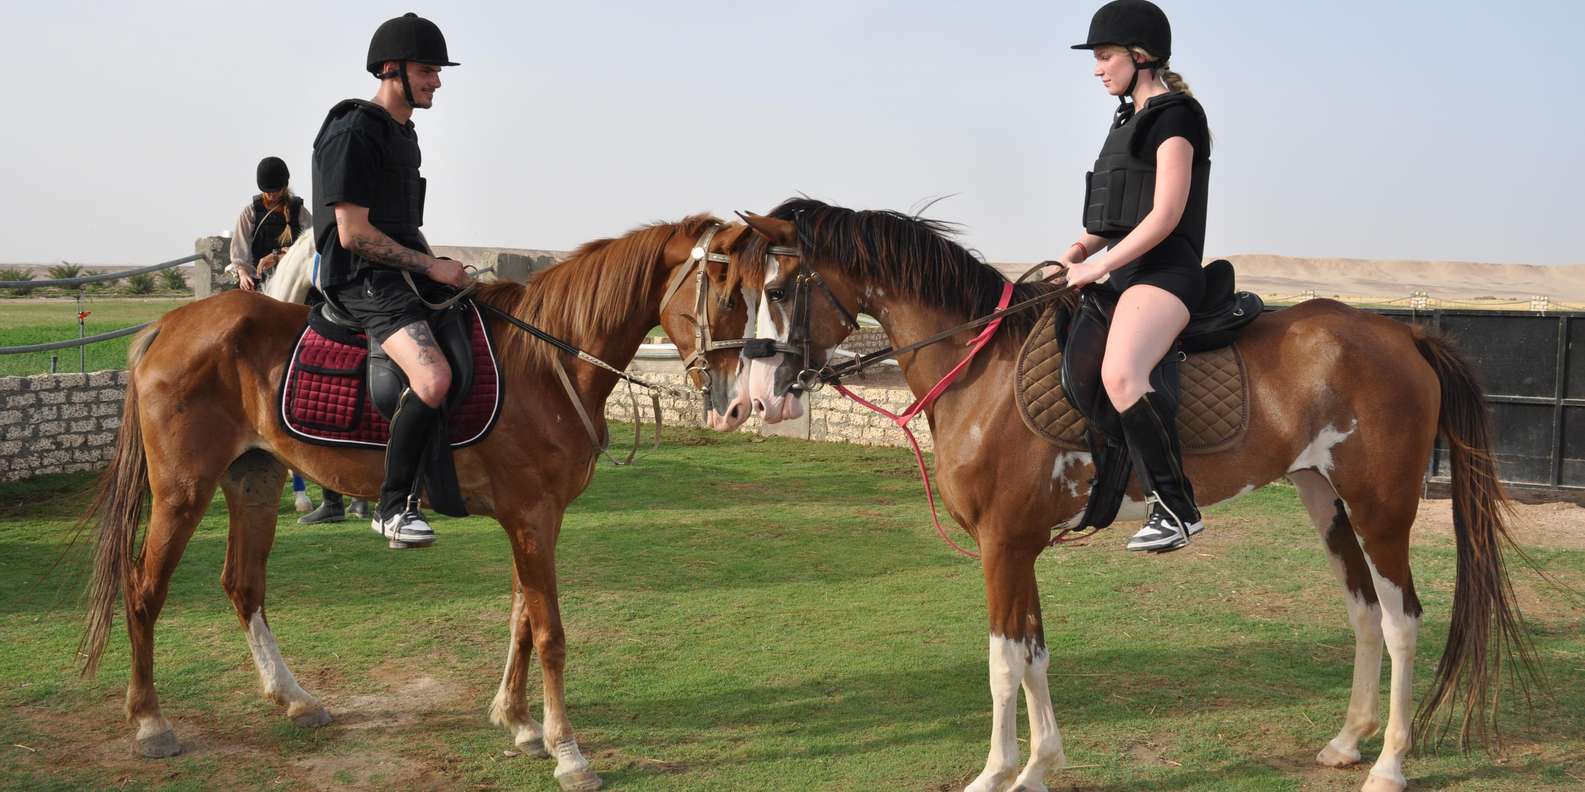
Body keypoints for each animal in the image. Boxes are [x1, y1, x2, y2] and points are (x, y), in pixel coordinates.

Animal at [77, 215, 761, 792]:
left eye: (763, 295)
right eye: (729, 296)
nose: (736, 406)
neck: (548, 361)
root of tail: (170, 324)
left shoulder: (536, 520)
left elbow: (521, 617)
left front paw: (518, 722)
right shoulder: (533, 518)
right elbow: (549, 633)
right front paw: (568, 752)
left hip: (254, 482)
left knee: (243, 586)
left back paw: (296, 699)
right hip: (182, 492)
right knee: (144, 590)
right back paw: (150, 723)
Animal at [733, 198, 1535, 792]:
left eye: (776, 290)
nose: (757, 396)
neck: (980, 365)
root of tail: (1401, 336)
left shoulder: (1001, 547)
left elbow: (1002, 663)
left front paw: (997, 772)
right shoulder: (1021, 547)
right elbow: (1034, 653)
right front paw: (1040, 767)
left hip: (1379, 508)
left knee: (1401, 621)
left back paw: (1391, 763)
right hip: (1323, 498)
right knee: (1363, 613)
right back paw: (1347, 741)